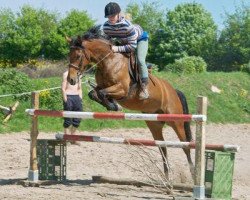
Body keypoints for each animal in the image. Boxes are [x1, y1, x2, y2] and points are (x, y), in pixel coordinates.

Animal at [67, 26, 194, 180]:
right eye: (69, 55)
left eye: (78, 56)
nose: (71, 80)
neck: (109, 61)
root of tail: (174, 91)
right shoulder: (101, 86)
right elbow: (94, 93)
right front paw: (112, 105)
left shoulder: (122, 89)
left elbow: (102, 93)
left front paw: (114, 105)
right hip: (154, 124)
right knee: (162, 147)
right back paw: (166, 177)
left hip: (176, 122)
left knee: (185, 146)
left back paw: (193, 174)